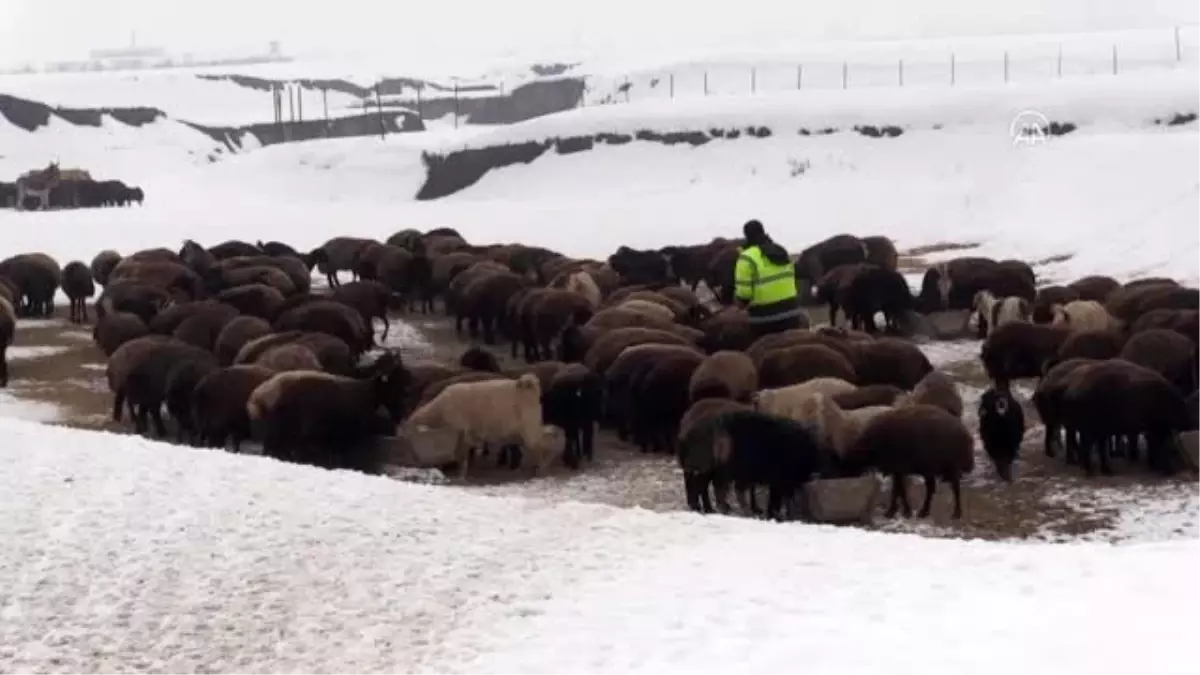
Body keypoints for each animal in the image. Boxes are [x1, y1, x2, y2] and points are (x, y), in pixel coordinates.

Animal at [398, 369, 556, 475]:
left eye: (410, 435)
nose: (409, 461)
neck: (438, 411)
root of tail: (530, 385)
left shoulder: (460, 432)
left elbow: (462, 456)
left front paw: (460, 475)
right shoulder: (464, 434)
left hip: (529, 428)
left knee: (543, 445)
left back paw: (543, 468)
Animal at [844, 401, 974, 516]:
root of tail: (964, 432)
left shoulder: (898, 470)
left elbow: (898, 491)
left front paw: (896, 511)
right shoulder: (898, 472)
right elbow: (898, 491)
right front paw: (901, 511)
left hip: (947, 468)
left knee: (953, 488)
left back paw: (954, 513)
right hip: (934, 471)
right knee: (935, 488)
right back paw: (925, 512)